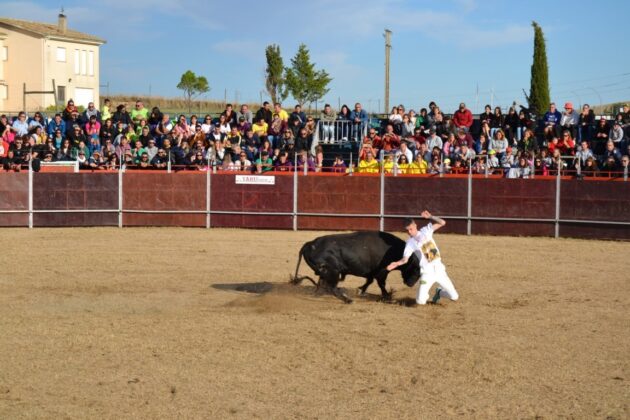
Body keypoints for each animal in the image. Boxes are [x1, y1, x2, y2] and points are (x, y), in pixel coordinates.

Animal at [292, 230, 422, 302]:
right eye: (416, 269)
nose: (410, 284)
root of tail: (310, 244)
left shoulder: (372, 272)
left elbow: (369, 281)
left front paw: (360, 290)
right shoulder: (382, 272)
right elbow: (381, 284)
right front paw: (387, 297)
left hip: (327, 272)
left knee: (324, 284)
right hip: (333, 271)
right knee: (331, 287)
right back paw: (347, 300)